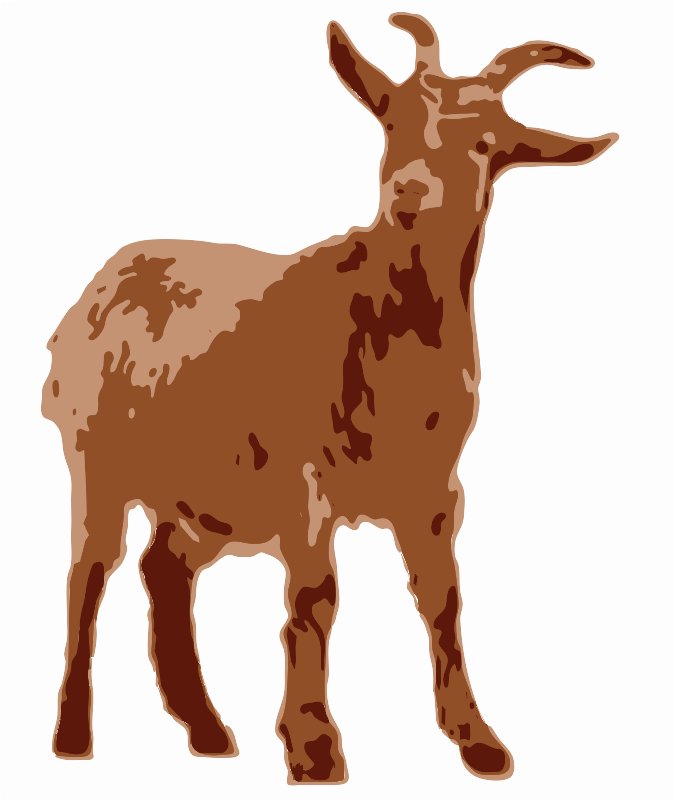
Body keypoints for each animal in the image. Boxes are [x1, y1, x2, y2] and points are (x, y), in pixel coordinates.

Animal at [42, 12, 617, 783]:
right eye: (391, 120)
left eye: (485, 142)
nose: (408, 194)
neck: (381, 323)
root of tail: (95, 289)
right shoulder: (302, 479)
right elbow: (315, 599)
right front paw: (313, 747)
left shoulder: (434, 486)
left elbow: (443, 597)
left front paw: (477, 739)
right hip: (97, 456)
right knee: (89, 573)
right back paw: (73, 735)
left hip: (205, 492)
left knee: (164, 568)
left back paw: (207, 729)